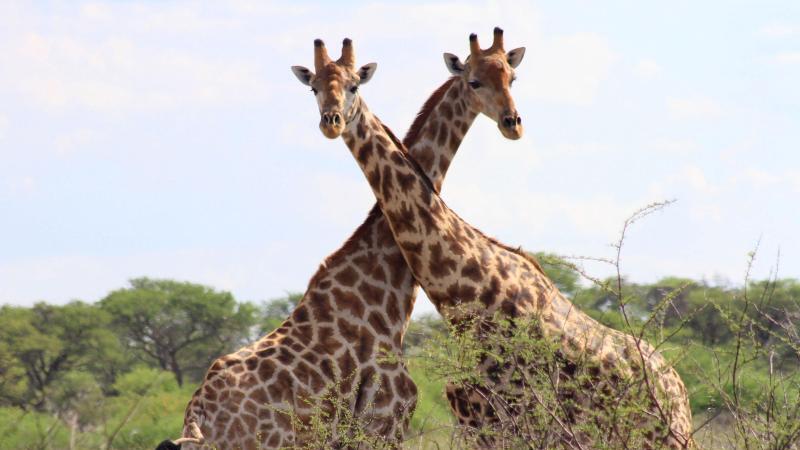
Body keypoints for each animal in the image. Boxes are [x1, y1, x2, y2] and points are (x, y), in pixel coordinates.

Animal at [300, 36, 692, 450]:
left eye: (513, 78)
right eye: (314, 88)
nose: (513, 124)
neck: (469, 293)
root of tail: (679, 394)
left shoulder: (514, 413)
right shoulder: (478, 416)